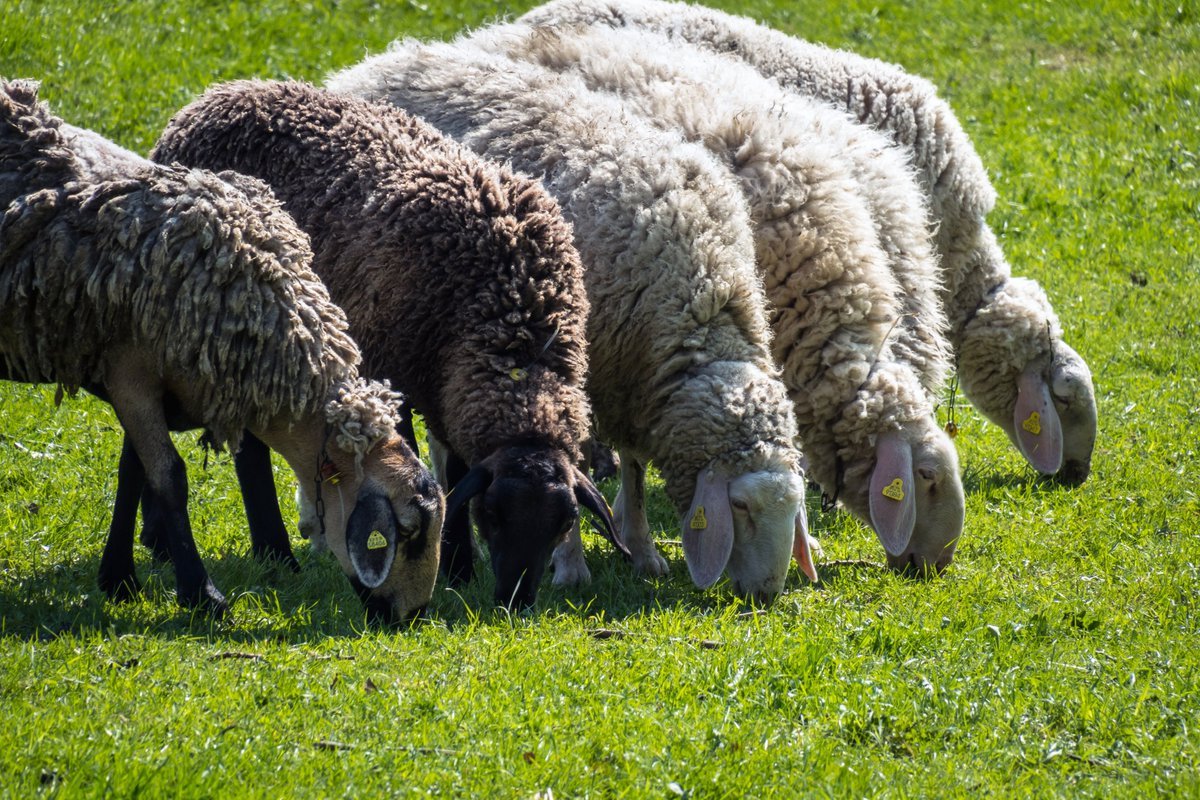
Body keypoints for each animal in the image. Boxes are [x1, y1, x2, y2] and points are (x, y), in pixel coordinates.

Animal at [0, 77, 441, 623]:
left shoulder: (141, 385)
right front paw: (200, 593)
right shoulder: (128, 372)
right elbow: (167, 477)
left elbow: (131, 475)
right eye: (407, 533)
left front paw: (119, 578)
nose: (412, 617)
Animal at [150, 79, 619, 606]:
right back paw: (273, 554)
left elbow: (457, 471)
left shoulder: (448, 387)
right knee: (248, 451)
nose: (514, 600)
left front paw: (457, 567)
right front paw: (452, 564)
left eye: (565, 523)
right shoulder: (392, 366)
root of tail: (213, 97)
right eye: (493, 515)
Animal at [324, 38, 820, 599]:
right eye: (739, 506)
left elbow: (633, 470)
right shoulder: (587, 372)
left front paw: (643, 552)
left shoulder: (633, 386)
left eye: (794, 505)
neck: (700, 298)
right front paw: (571, 565)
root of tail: (379, 61)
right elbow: (573, 467)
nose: (767, 595)